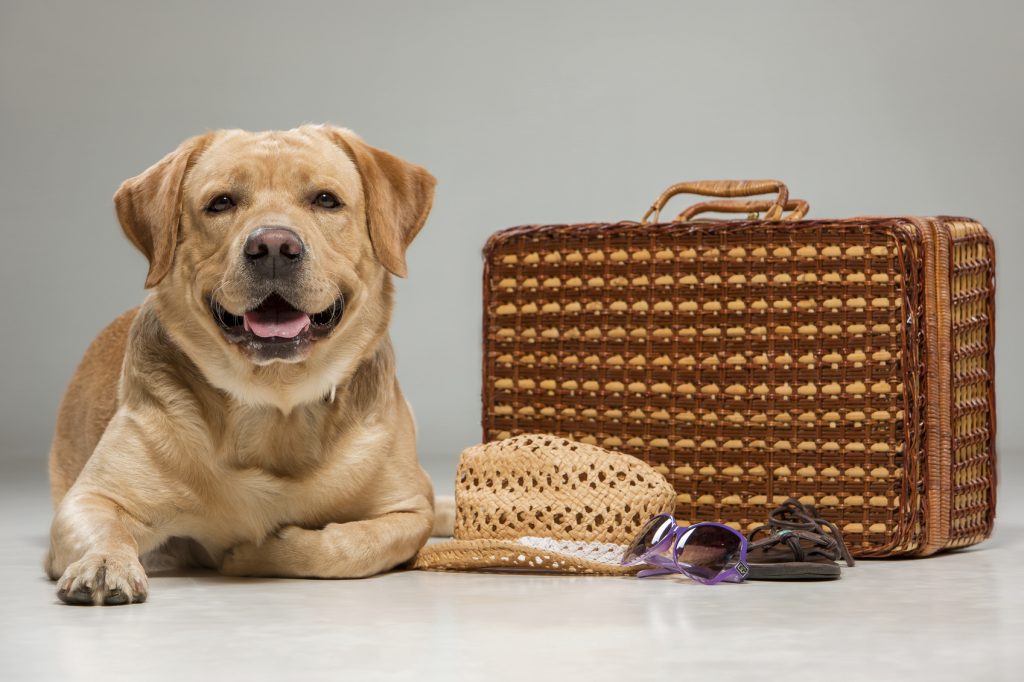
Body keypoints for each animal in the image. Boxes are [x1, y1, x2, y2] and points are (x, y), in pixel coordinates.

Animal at [46, 124, 438, 602]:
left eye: (326, 200)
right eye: (221, 203)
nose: (273, 246)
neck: (275, 404)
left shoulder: (410, 511)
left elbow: (347, 546)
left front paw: (257, 552)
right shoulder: (90, 498)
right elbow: (106, 527)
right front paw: (104, 562)